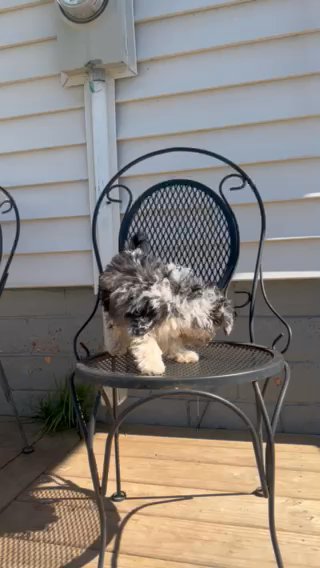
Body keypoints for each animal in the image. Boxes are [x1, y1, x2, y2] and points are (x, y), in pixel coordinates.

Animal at [99, 233, 234, 374]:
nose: (208, 340)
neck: (178, 299)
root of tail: (131, 251)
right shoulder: (143, 318)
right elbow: (148, 343)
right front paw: (153, 366)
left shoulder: (170, 322)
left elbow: (173, 339)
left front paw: (183, 354)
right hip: (110, 304)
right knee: (113, 328)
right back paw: (115, 347)